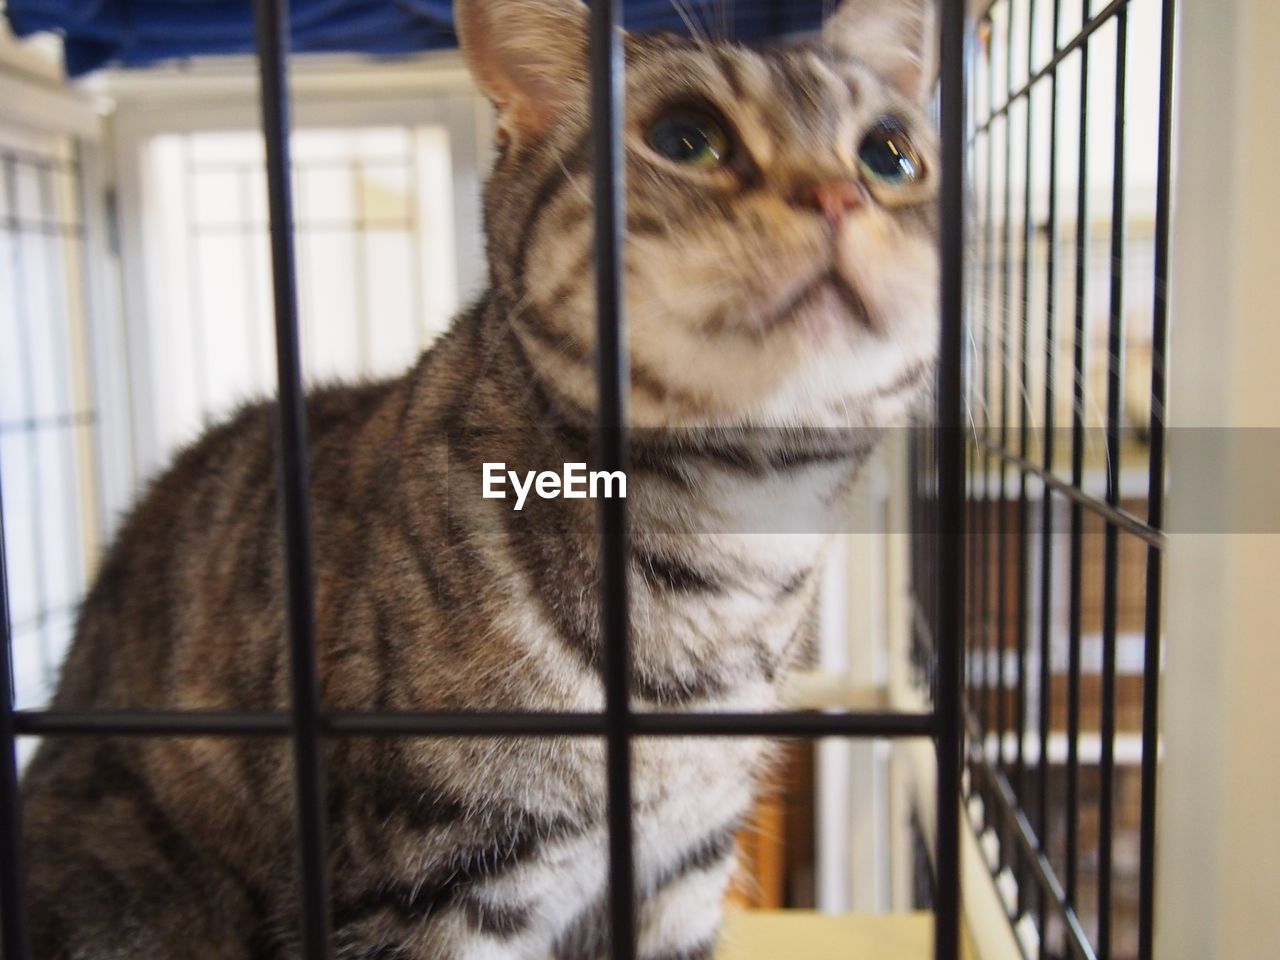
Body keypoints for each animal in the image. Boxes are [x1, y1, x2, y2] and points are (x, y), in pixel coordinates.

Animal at [17, 0, 942, 957]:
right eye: (686, 139)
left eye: (890, 155)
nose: (839, 194)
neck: (738, 539)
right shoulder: (437, 885)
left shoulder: (683, 865)